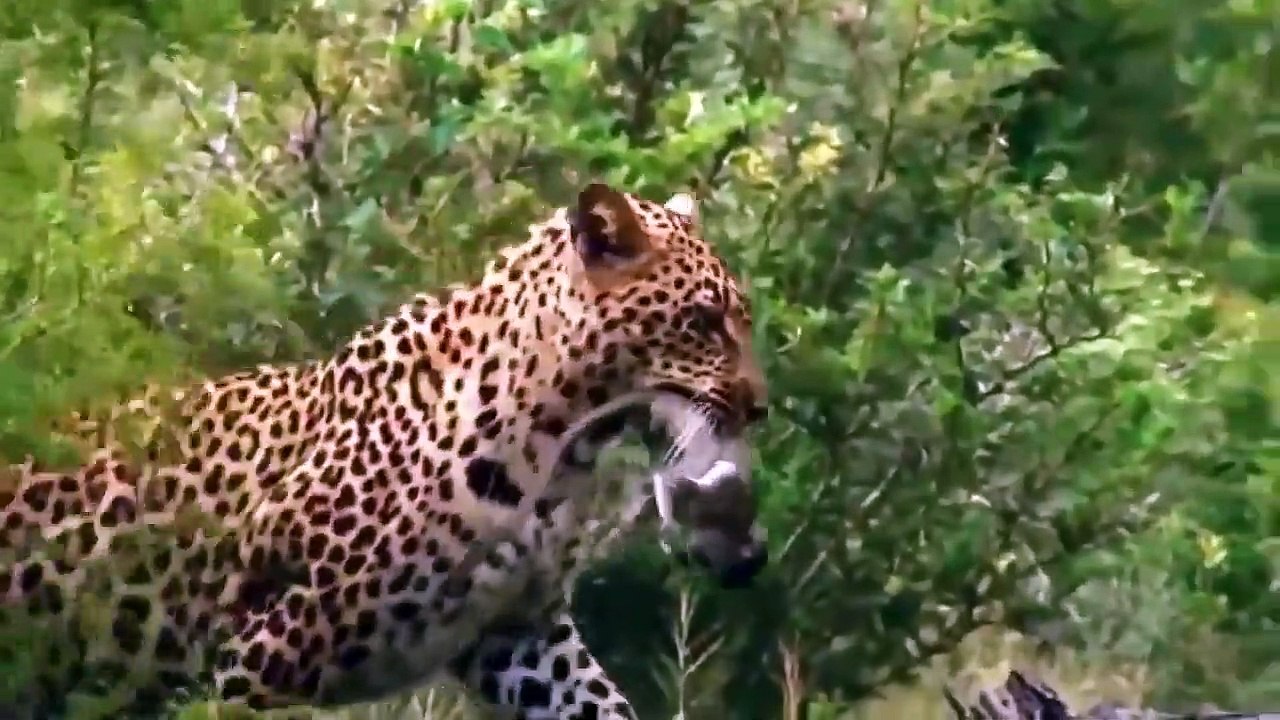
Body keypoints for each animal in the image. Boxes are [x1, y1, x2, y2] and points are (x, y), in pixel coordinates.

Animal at [0, 182, 770, 719]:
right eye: (704, 321)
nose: (760, 404)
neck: (561, 446)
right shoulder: (263, 645)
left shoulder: (520, 635)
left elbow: (600, 703)